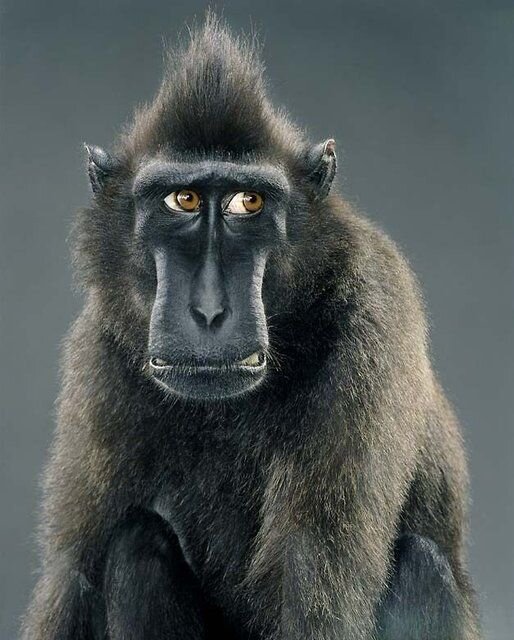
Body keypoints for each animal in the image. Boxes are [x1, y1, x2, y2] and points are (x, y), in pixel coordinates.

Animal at [21, 15, 481, 640]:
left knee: (420, 563)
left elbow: (318, 583)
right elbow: (75, 575)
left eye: (248, 202)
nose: (210, 312)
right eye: (182, 199)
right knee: (135, 544)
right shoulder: (100, 349)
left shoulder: (375, 315)